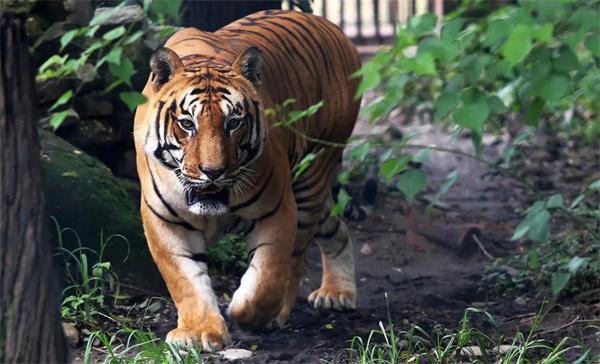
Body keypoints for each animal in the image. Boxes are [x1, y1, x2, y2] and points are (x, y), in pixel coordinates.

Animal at [134, 9, 360, 350]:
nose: (212, 171)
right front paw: (198, 331)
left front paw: (248, 314)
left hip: (312, 176)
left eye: (233, 122)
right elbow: (184, 279)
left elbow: (267, 277)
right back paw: (338, 292)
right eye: (187, 124)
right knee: (337, 227)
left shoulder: (276, 209)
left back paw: (291, 308)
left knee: (296, 257)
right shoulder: (163, 220)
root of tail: (333, 28)